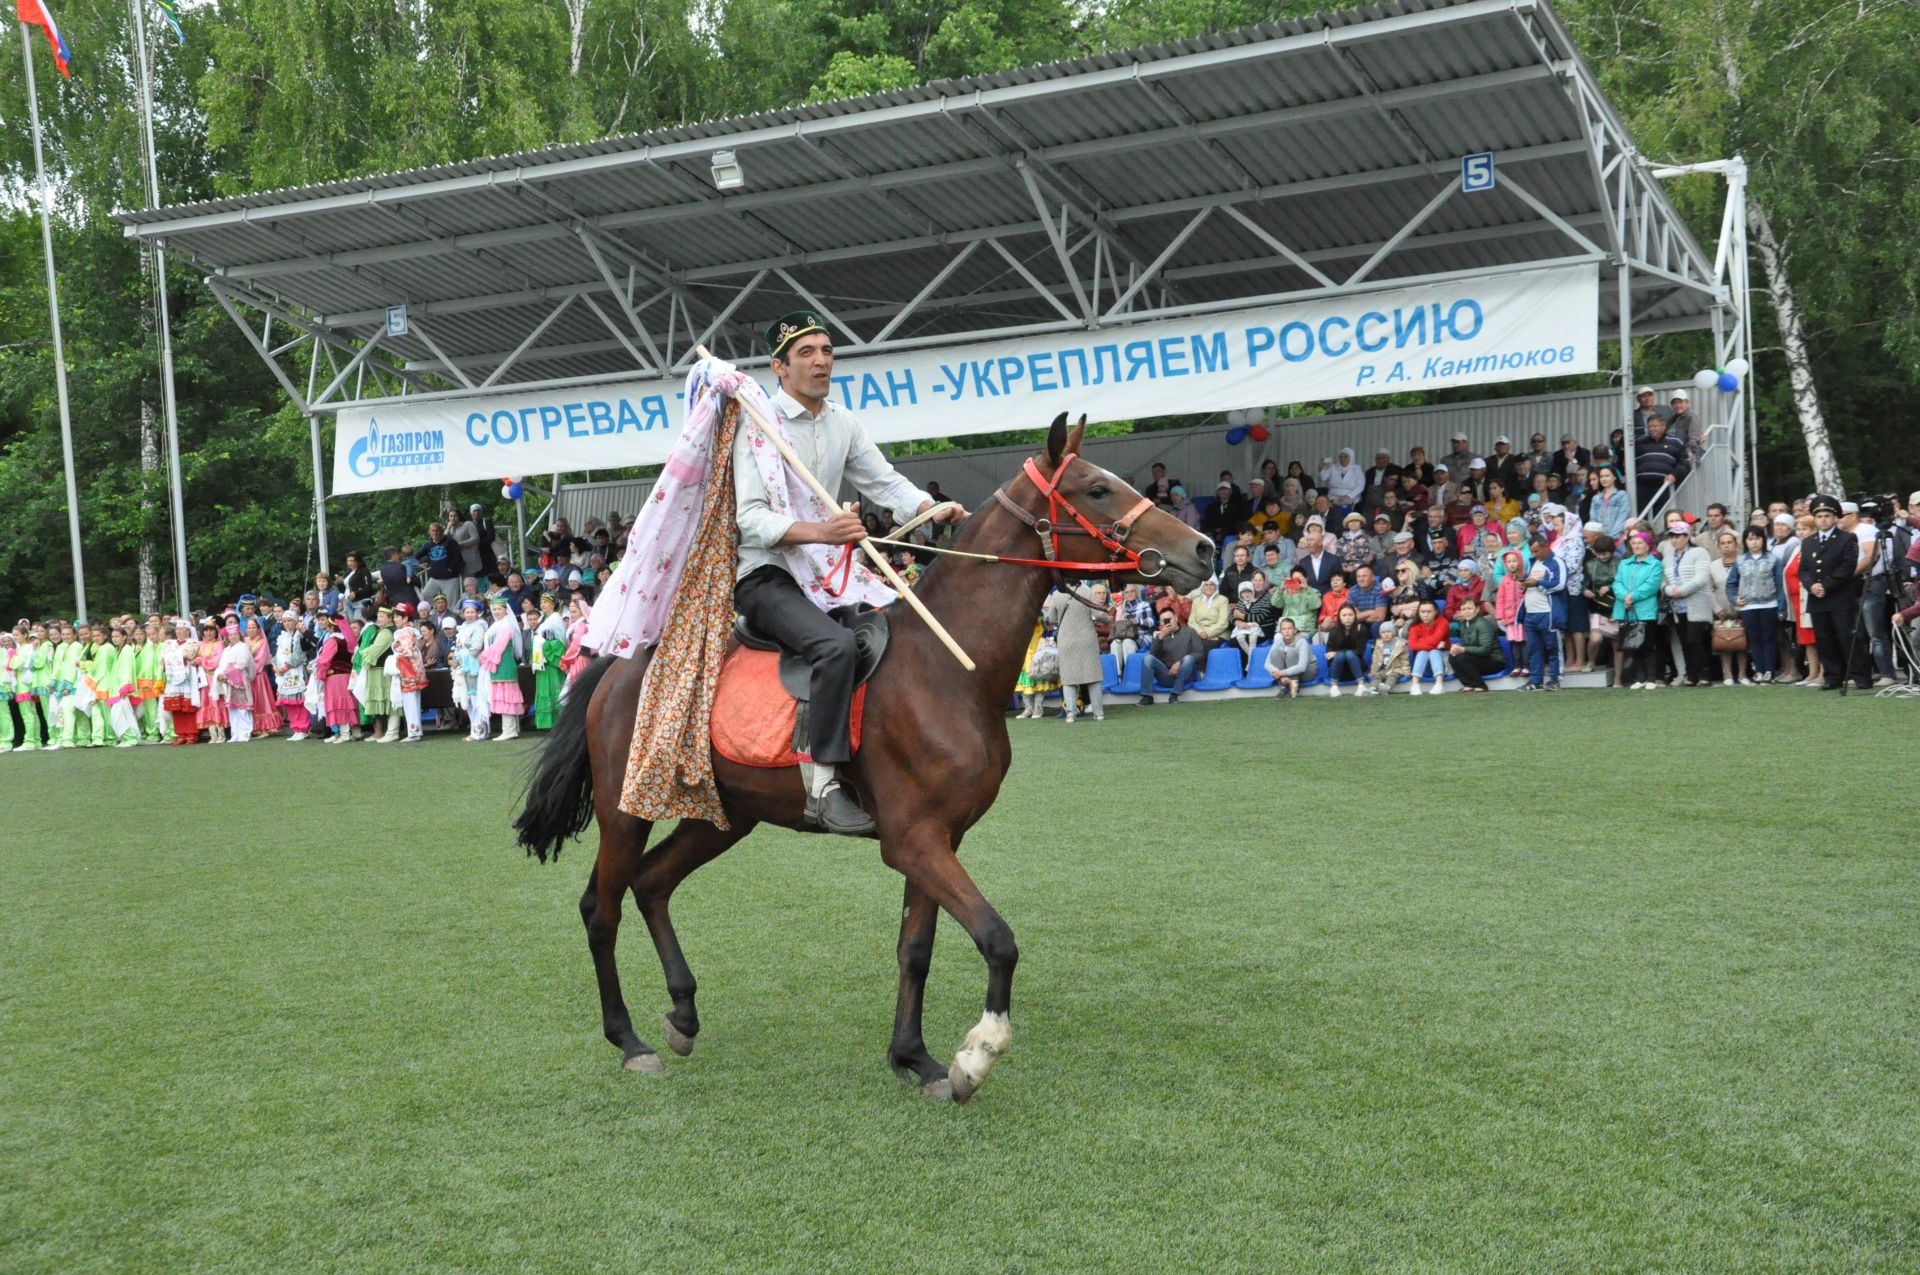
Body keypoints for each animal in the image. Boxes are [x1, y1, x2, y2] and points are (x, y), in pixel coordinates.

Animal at [514, 412, 1213, 1098]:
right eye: (1096, 489)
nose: (1202, 549)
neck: (948, 668)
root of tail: (616, 666)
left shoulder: (939, 837)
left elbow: (916, 950)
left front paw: (915, 1058)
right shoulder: (914, 840)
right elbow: (997, 939)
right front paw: (976, 1054)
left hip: (725, 816)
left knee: (652, 884)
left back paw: (683, 1014)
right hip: (624, 811)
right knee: (601, 909)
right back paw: (629, 1040)